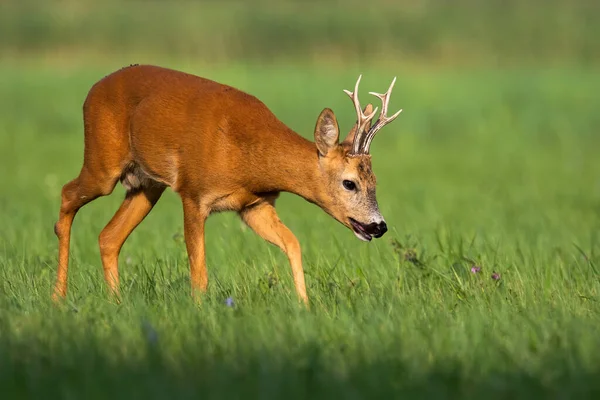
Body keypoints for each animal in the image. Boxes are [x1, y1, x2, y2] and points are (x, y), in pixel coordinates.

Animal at [52, 64, 404, 304]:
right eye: (349, 183)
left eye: (375, 181)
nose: (379, 226)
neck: (247, 156)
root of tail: (92, 89)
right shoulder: (194, 193)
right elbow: (199, 272)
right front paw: (200, 312)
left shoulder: (254, 205)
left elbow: (293, 243)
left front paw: (304, 306)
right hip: (103, 163)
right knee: (67, 194)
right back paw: (58, 296)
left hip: (147, 185)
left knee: (109, 236)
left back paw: (116, 302)